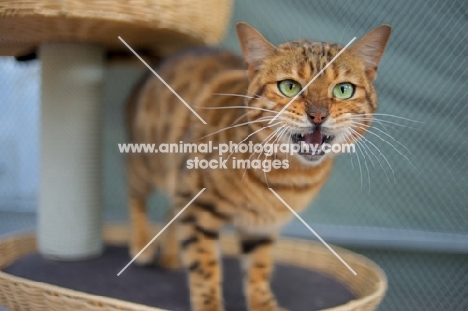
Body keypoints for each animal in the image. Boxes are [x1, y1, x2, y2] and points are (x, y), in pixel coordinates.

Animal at [125, 22, 392, 311]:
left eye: (344, 89)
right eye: (289, 86)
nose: (318, 115)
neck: (285, 177)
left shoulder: (262, 225)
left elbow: (258, 268)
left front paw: (263, 303)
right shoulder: (196, 204)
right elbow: (204, 266)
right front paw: (209, 304)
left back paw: (171, 257)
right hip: (146, 162)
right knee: (136, 196)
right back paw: (142, 245)